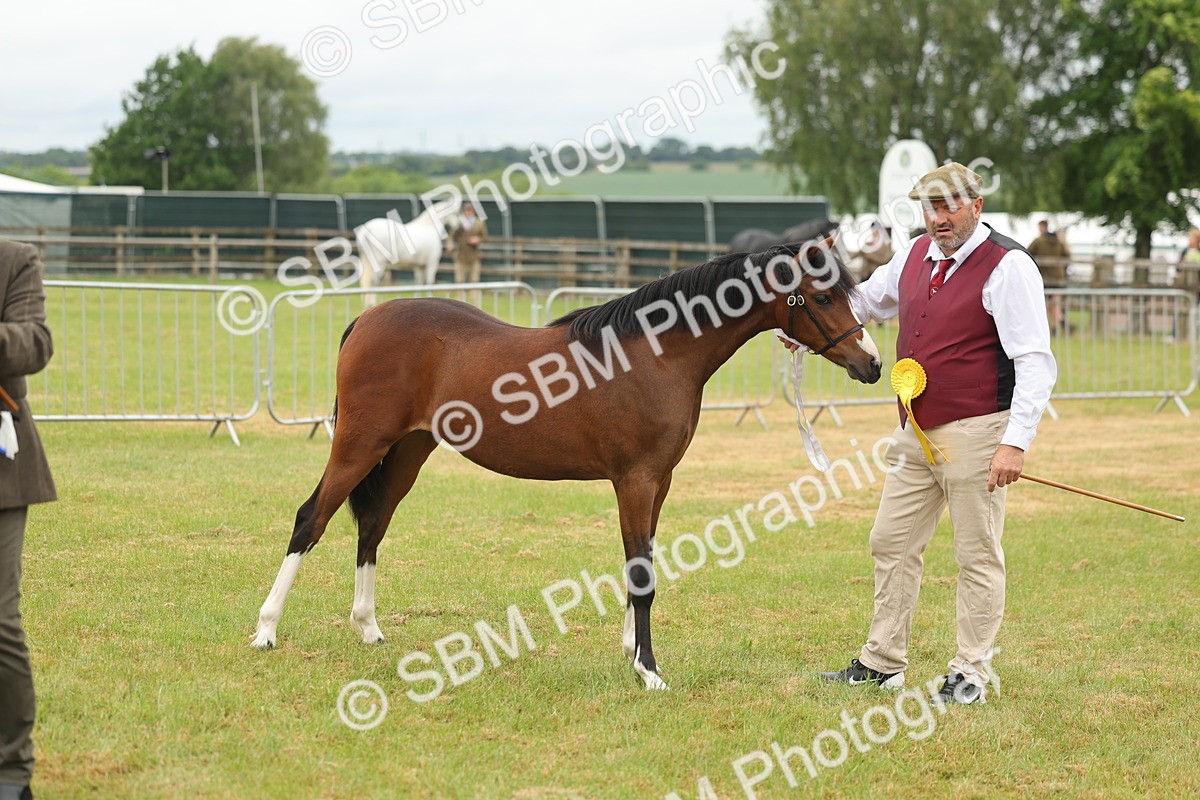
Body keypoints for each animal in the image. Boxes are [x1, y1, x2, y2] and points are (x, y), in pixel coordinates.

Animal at [250, 239, 883, 691]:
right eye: (822, 297)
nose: (873, 364)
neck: (657, 354)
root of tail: (367, 319)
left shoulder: (659, 483)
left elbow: (641, 563)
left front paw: (632, 652)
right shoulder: (635, 480)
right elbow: (642, 573)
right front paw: (650, 671)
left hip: (407, 451)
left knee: (373, 524)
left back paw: (369, 628)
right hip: (359, 444)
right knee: (311, 519)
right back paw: (266, 632)